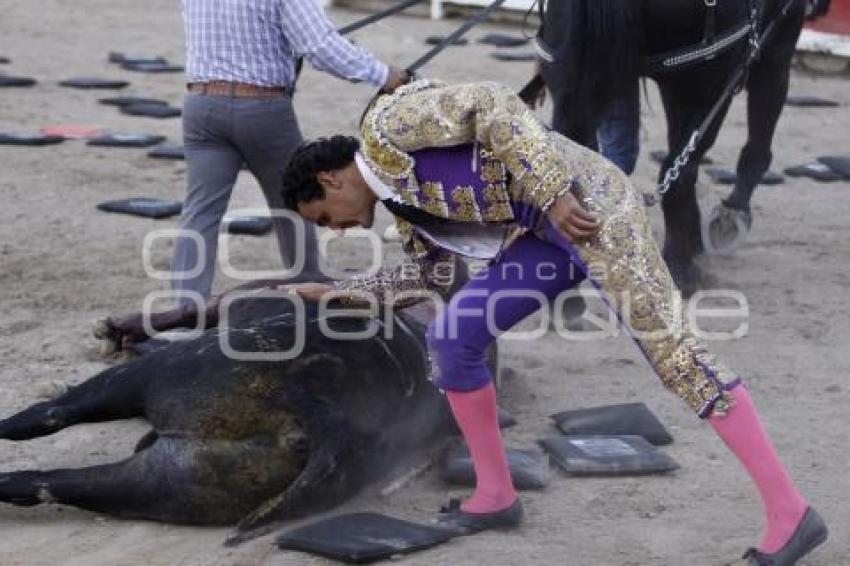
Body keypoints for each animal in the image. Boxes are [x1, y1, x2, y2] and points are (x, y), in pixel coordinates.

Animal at [528, 0, 808, 296]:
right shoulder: (779, 41)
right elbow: (757, 144)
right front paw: (732, 214)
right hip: (701, 86)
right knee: (679, 170)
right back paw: (681, 268)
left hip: (568, 75)